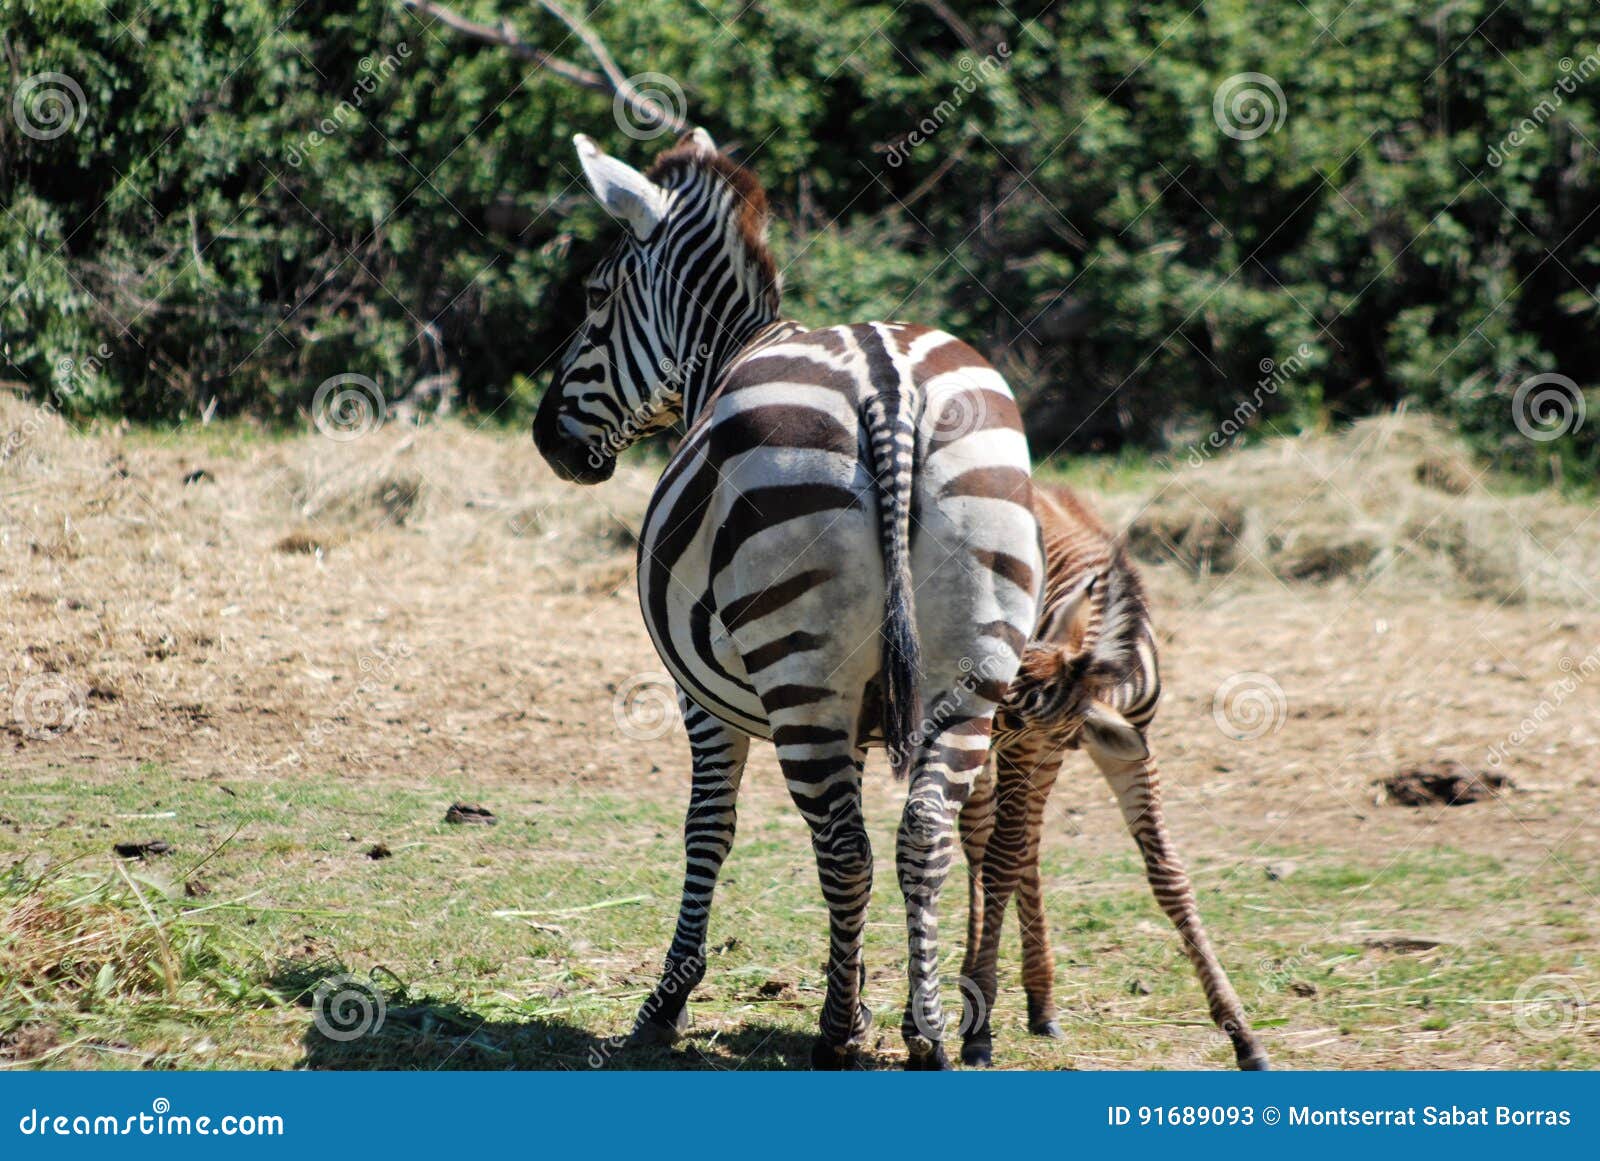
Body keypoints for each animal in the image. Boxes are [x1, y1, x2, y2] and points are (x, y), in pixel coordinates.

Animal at [532, 128, 1043, 1069]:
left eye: (595, 296)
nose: (548, 438)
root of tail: (887, 382)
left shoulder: (700, 698)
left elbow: (708, 827)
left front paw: (665, 1003)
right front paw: (881, 1002)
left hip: (798, 669)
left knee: (843, 848)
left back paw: (835, 1036)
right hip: (970, 664)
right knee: (920, 835)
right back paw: (926, 1033)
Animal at [956, 483, 1270, 1069]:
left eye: (1021, 712)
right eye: (997, 687)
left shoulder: (1123, 748)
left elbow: (1168, 874)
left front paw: (1243, 1034)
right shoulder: (1027, 748)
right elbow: (1001, 862)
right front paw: (979, 1028)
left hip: (1045, 759)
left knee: (1020, 843)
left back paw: (1040, 1002)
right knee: (985, 841)